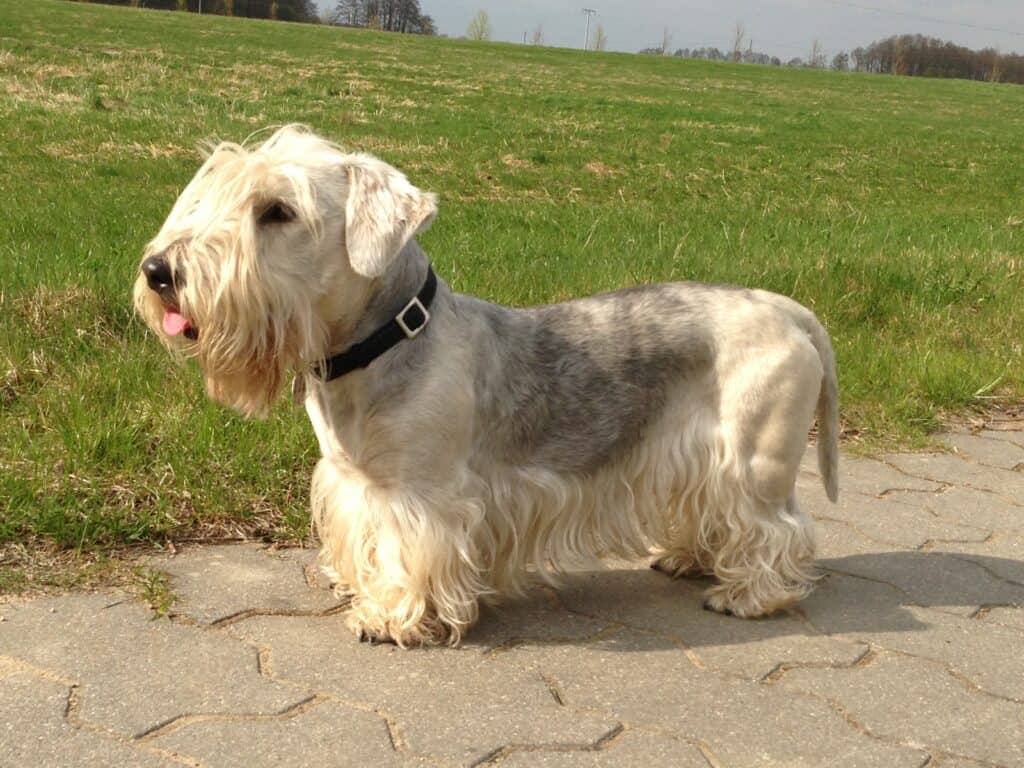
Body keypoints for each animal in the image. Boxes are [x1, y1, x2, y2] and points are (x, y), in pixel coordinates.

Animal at [136, 128, 839, 651]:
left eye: (277, 211)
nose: (157, 270)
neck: (385, 342)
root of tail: (787, 310)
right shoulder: (351, 480)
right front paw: (356, 586)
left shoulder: (422, 495)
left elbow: (408, 555)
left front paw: (390, 617)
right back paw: (688, 558)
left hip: (752, 459)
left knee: (780, 528)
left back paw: (746, 595)